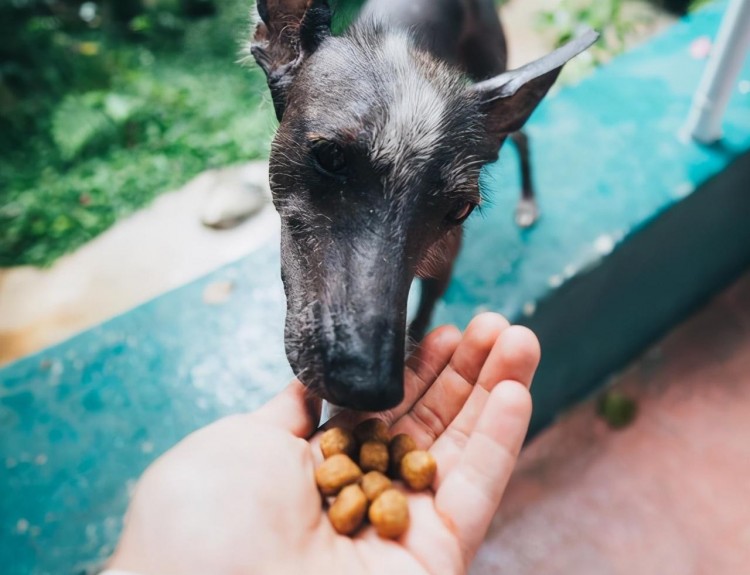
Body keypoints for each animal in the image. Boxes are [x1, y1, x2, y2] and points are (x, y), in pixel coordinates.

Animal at [251, 1, 600, 414]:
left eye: (460, 209)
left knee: (523, 138)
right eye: (330, 156)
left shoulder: (443, 267)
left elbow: (419, 324)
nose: (368, 388)